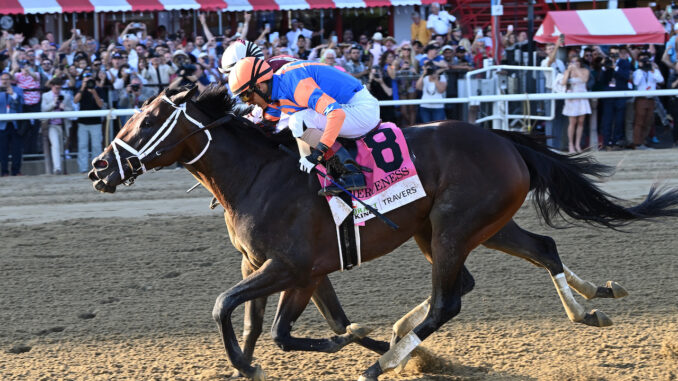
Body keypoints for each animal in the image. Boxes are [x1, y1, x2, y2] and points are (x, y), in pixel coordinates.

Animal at [87, 86, 678, 380]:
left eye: (147, 121)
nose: (97, 168)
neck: (258, 176)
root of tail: (505, 139)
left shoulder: (293, 268)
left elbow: (244, 316)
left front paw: (360, 343)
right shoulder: (274, 266)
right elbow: (266, 326)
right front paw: (253, 364)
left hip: (453, 227)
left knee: (448, 301)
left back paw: (383, 363)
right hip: (470, 226)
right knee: (537, 251)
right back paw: (591, 304)